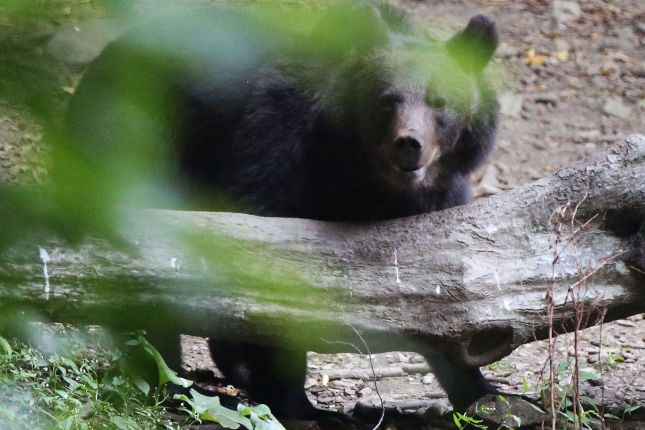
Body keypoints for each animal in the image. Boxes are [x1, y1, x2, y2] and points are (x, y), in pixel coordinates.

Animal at [64, 1, 498, 424]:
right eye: (387, 100)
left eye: (440, 102)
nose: (409, 144)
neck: (364, 175)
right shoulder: (277, 150)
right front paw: (299, 403)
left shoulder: (436, 203)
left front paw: (485, 395)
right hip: (133, 145)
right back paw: (170, 378)